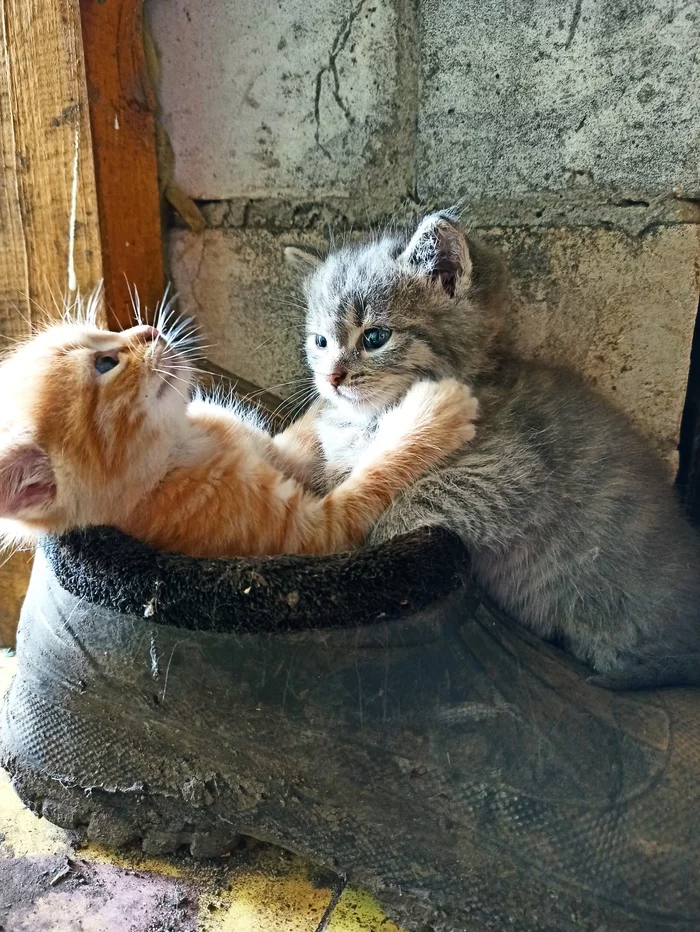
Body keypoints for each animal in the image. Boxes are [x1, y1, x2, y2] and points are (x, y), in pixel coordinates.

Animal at [280, 213, 700, 692]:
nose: (331, 378)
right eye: (320, 342)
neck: (371, 419)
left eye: (375, 337)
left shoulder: (517, 472)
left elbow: (423, 492)